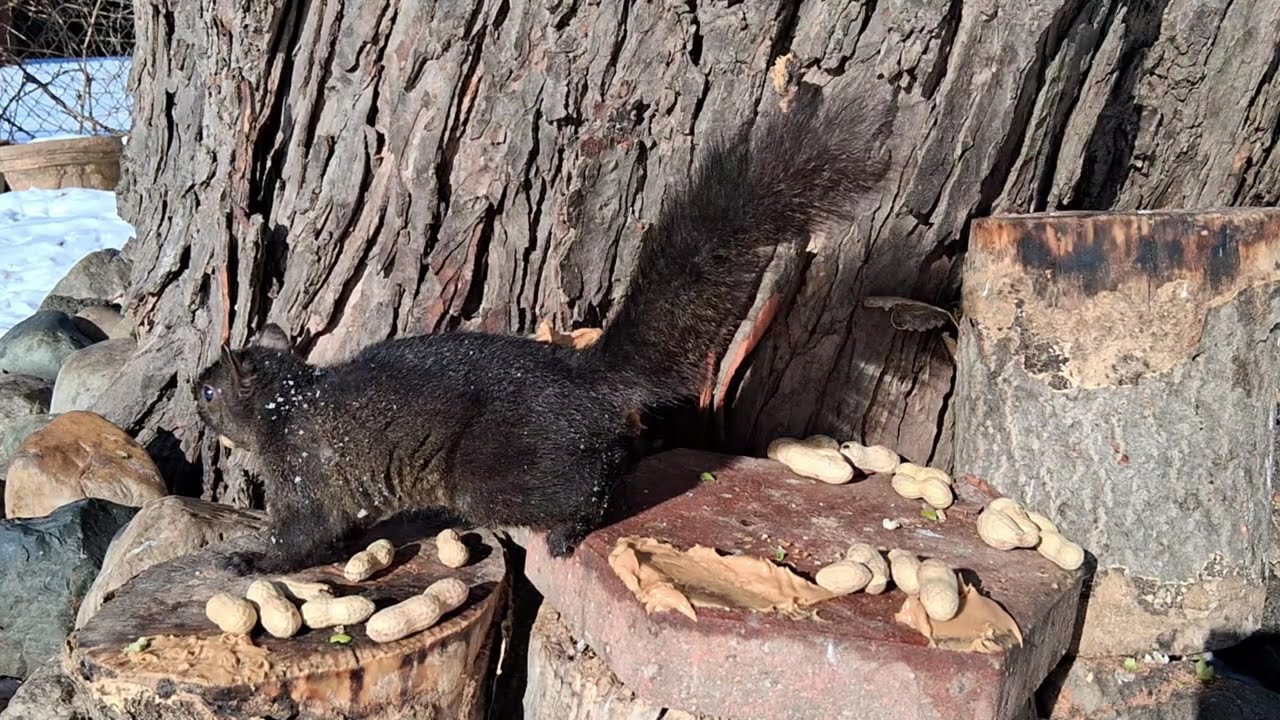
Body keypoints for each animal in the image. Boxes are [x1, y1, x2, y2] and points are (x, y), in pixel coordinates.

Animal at [195, 86, 887, 575]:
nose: (192, 402)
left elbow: (303, 534)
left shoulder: (303, 470)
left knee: (594, 481)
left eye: (208, 390)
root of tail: (588, 377)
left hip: (500, 474)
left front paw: (251, 559)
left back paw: (571, 528)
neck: (290, 403)